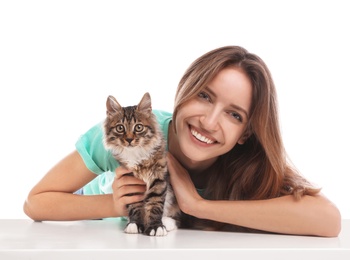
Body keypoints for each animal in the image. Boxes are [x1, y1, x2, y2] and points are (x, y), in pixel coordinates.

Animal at [102, 92, 180, 237]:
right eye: (120, 128)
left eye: (138, 127)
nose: (129, 139)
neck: (136, 154)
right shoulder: (130, 180)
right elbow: (134, 206)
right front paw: (135, 224)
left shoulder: (158, 177)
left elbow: (155, 204)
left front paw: (156, 227)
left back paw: (167, 223)